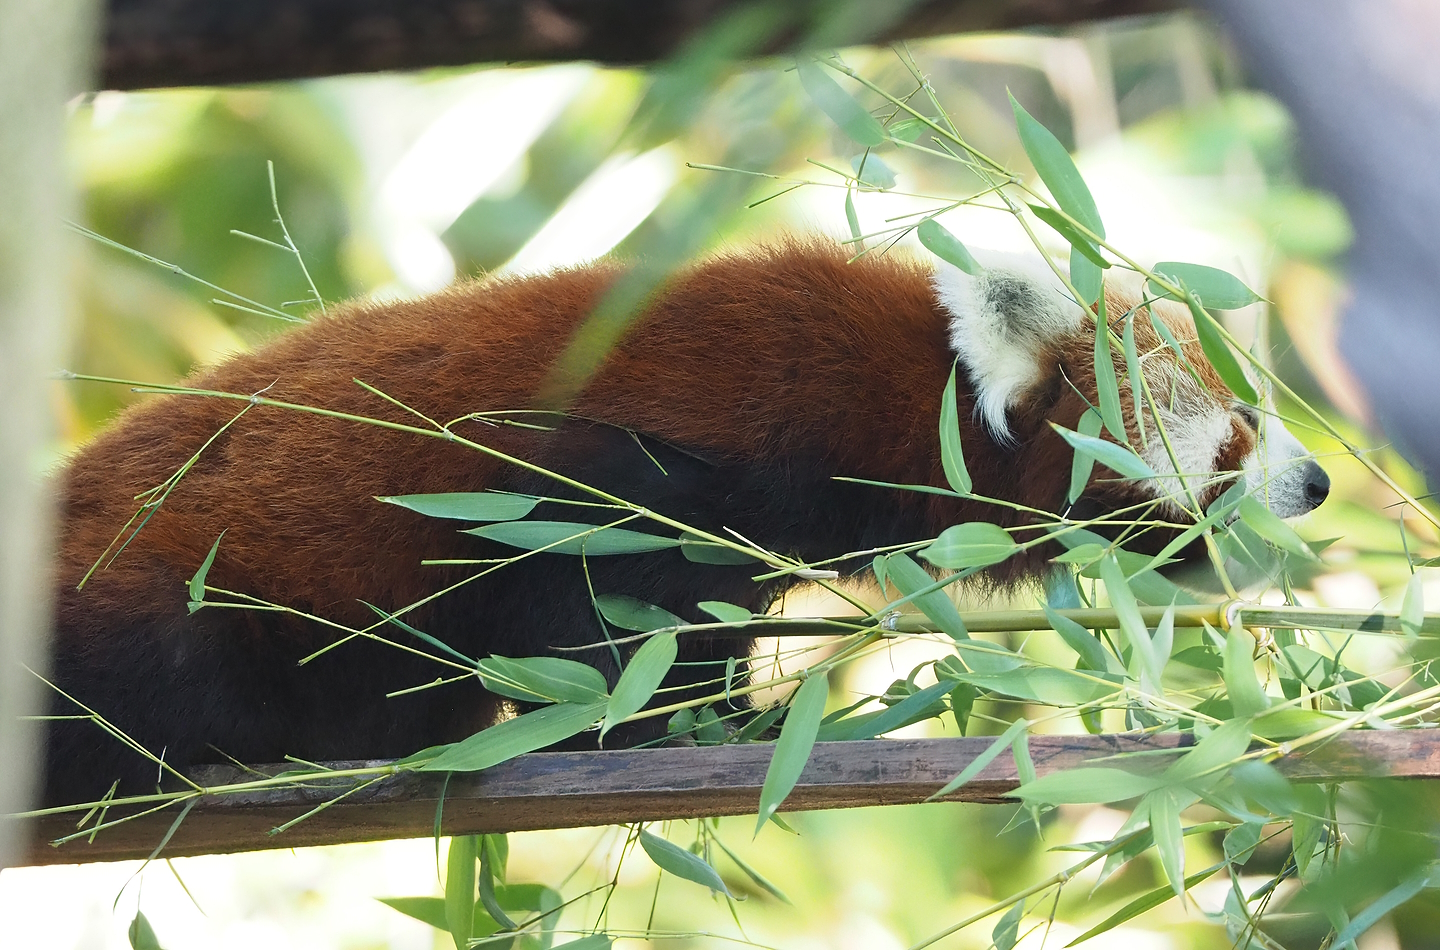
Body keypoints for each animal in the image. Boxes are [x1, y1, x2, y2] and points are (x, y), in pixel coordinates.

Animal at [43, 242, 1328, 807]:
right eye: (1241, 426)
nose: (1318, 483)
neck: (896, 393)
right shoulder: (624, 469)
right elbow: (585, 611)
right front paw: (655, 724)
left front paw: (728, 713)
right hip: (166, 607)